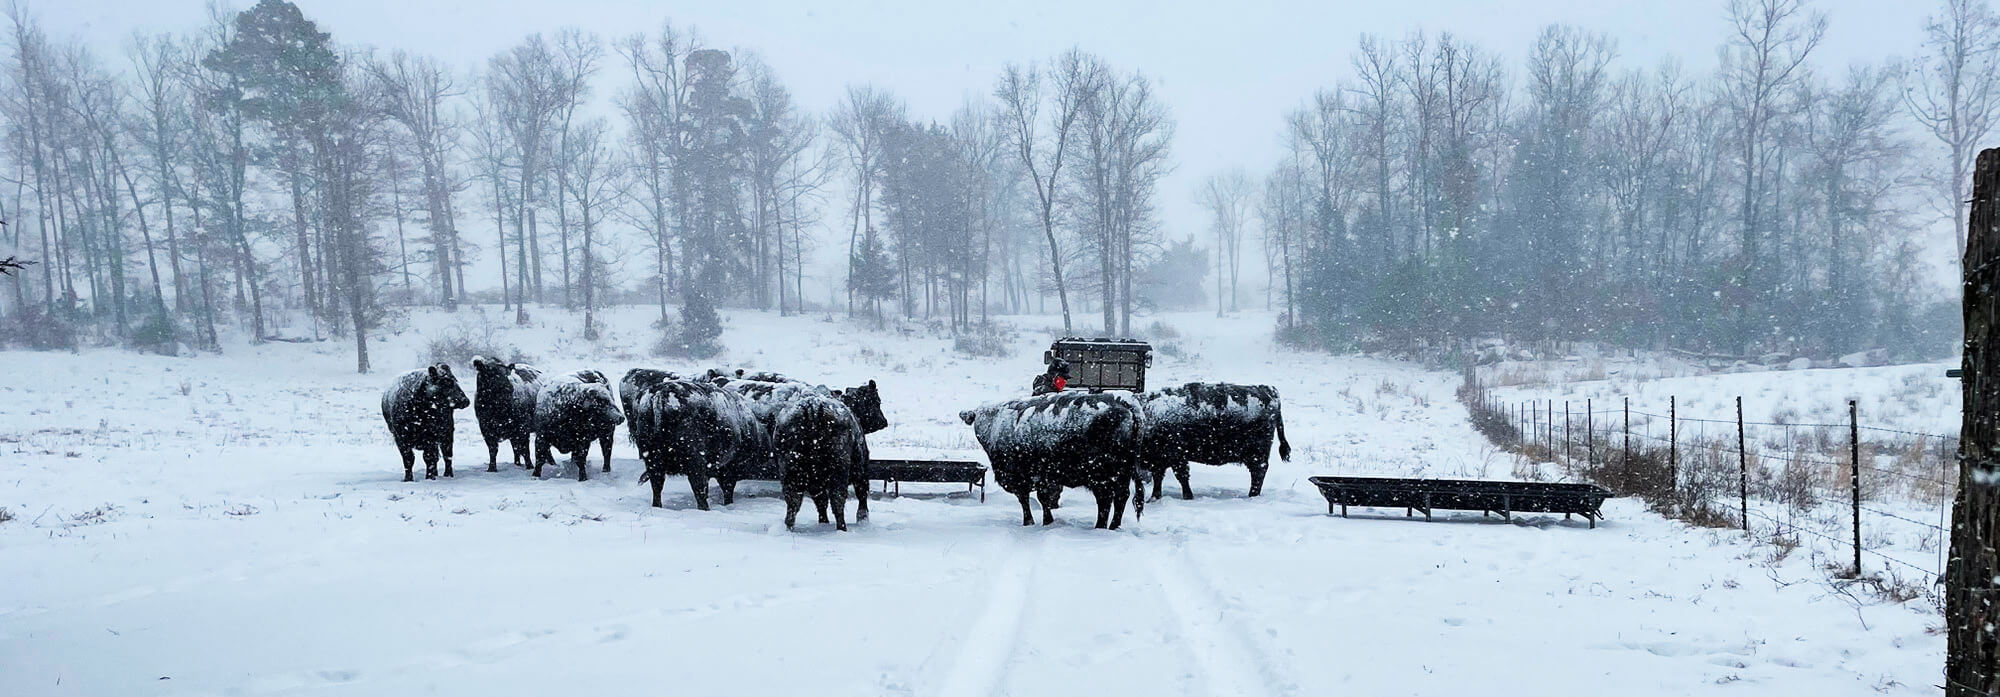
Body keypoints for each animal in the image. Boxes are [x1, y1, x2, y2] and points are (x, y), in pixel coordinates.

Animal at [772, 394, 868, 532]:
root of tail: (813, 405)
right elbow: (862, 493)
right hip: (840, 468)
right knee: (838, 498)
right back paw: (842, 527)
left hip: (790, 470)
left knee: (793, 500)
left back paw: (789, 527)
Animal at [960, 392, 1152, 528]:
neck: (995, 423)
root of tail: (1124, 400)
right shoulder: (1044, 477)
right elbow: (1043, 498)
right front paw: (1047, 521)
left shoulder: (1020, 477)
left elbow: (1027, 500)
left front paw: (1031, 522)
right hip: (1122, 473)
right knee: (1121, 497)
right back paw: (1114, 526)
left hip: (1102, 475)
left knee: (1105, 500)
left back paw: (1100, 527)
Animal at [1144, 380, 1296, 500]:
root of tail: (1268, 390)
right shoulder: (1160, 459)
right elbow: (1158, 477)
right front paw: (1154, 498)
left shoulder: (1177, 457)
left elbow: (1182, 477)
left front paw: (1188, 497)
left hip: (1256, 454)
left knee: (1258, 472)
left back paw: (1252, 495)